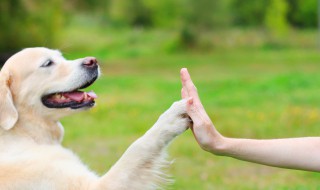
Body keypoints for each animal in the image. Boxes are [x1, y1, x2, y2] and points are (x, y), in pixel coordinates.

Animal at [0, 47, 190, 190]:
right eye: (47, 63)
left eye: (61, 57)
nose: (93, 61)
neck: (24, 133)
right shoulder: (95, 186)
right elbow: (138, 147)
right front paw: (171, 118)